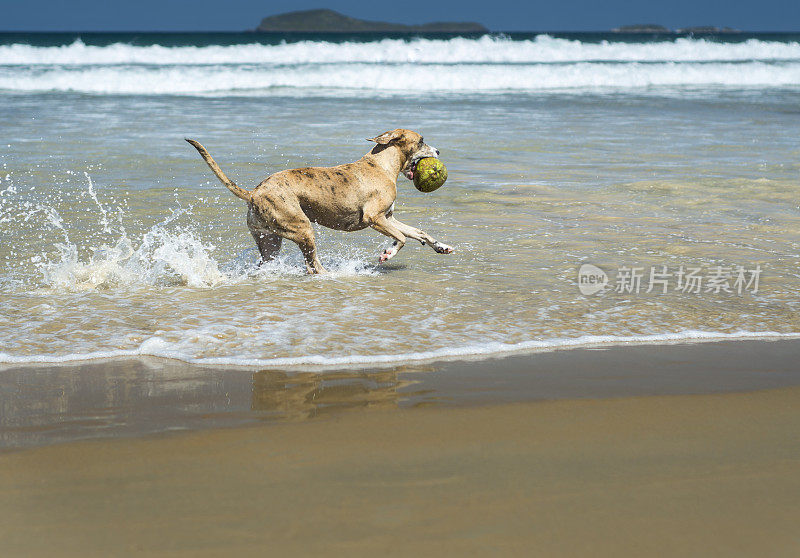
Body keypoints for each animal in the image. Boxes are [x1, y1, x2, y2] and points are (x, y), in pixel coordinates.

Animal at [184, 129, 454, 274]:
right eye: (421, 141)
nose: (439, 151)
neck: (380, 164)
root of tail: (254, 193)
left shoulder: (388, 217)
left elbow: (418, 232)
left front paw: (441, 246)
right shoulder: (374, 218)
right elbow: (400, 238)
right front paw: (387, 253)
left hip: (270, 240)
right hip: (303, 229)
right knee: (313, 266)